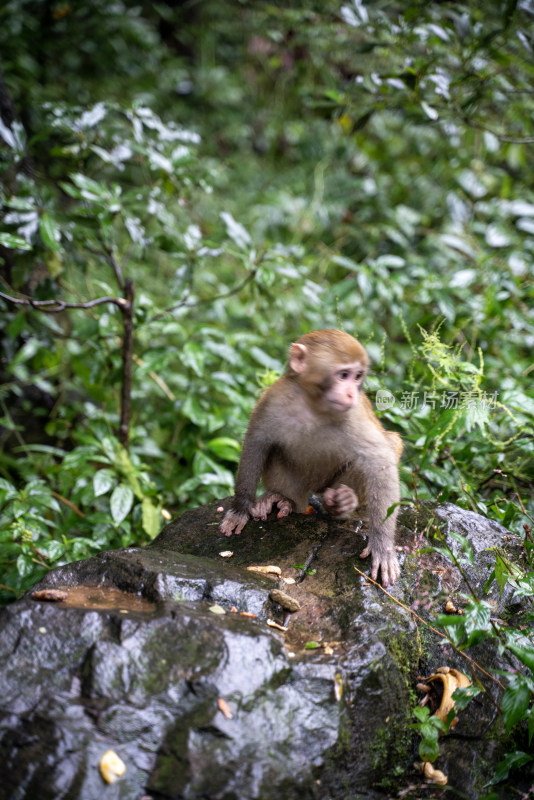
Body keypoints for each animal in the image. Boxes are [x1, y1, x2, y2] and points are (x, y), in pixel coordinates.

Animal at [220, 328, 404, 584]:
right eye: (343, 375)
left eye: (357, 377)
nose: (351, 394)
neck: (313, 404)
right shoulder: (273, 398)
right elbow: (257, 442)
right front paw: (240, 508)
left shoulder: (353, 415)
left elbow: (379, 461)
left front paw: (383, 547)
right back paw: (282, 499)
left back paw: (342, 502)